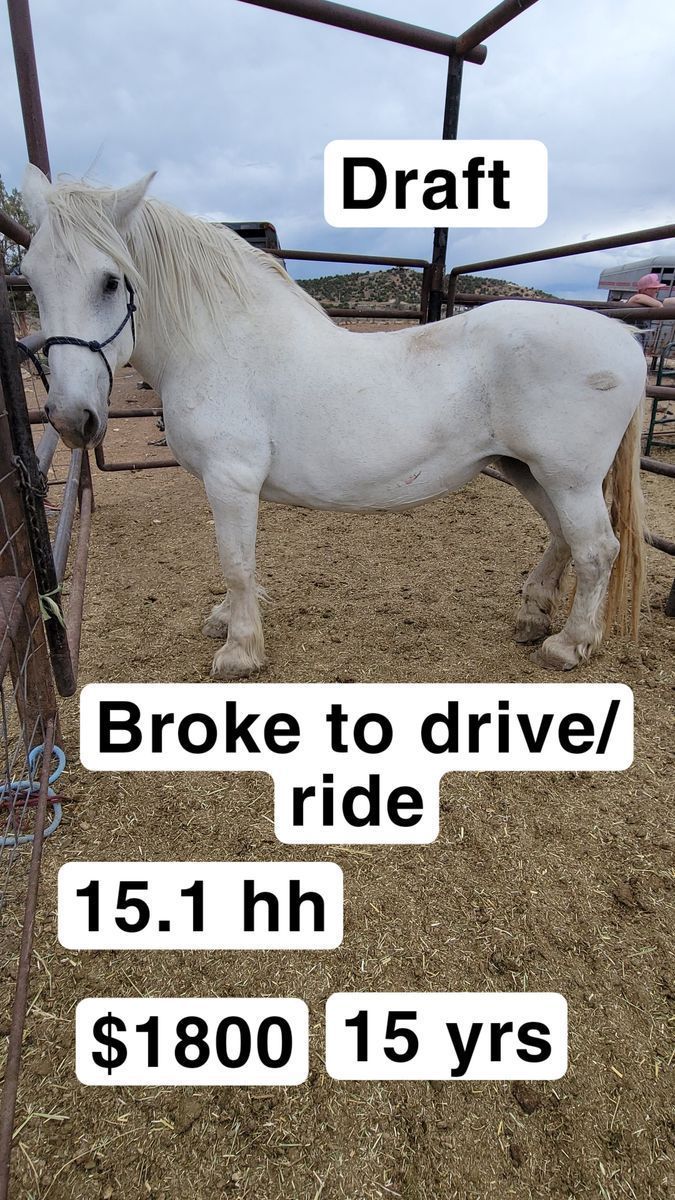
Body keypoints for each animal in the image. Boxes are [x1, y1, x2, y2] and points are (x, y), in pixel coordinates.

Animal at [20, 165, 646, 677]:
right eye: (31, 276)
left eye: (109, 280)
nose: (71, 418)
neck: (221, 346)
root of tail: (625, 338)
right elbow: (239, 563)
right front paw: (227, 619)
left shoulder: (230, 480)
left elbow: (236, 561)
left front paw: (239, 651)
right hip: (526, 470)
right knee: (563, 537)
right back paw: (534, 617)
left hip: (568, 478)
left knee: (597, 550)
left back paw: (568, 645)